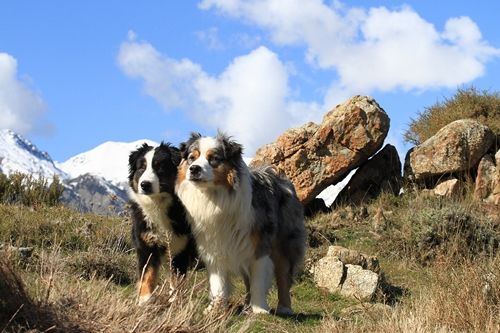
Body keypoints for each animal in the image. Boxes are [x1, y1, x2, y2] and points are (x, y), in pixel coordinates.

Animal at [128, 141, 196, 304]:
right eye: (141, 167)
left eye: (159, 166)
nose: (145, 184)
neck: (158, 204)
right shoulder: (147, 244)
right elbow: (147, 273)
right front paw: (145, 299)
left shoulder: (181, 249)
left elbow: (177, 280)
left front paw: (175, 301)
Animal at [176, 132, 308, 314]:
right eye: (191, 158)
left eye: (213, 158)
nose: (194, 169)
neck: (215, 197)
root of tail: (277, 175)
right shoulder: (214, 246)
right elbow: (218, 283)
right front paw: (215, 309)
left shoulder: (260, 246)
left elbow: (258, 281)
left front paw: (260, 309)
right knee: (247, 280)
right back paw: (246, 306)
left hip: (283, 242)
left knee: (283, 276)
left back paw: (284, 308)